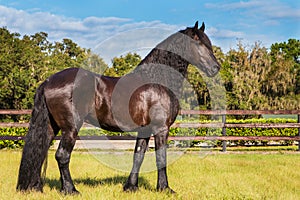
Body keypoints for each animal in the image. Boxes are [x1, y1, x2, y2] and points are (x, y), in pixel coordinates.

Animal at [16, 21, 220, 194]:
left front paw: (131, 187)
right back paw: (70, 190)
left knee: (40, 152)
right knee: (62, 155)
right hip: (71, 128)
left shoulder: (144, 130)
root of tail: (49, 80)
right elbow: (161, 157)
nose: (216, 68)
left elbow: (138, 156)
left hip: (51, 127)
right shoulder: (161, 129)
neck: (157, 80)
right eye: (199, 43)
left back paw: (35, 187)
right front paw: (165, 188)